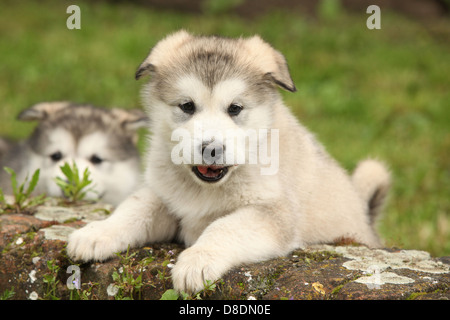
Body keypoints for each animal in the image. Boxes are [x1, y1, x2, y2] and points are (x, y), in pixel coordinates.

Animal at [67, 31, 390, 294]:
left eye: (235, 108)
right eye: (187, 106)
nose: (211, 149)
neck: (206, 189)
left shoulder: (272, 214)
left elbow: (224, 227)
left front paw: (197, 260)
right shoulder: (164, 196)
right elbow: (133, 208)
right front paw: (98, 232)